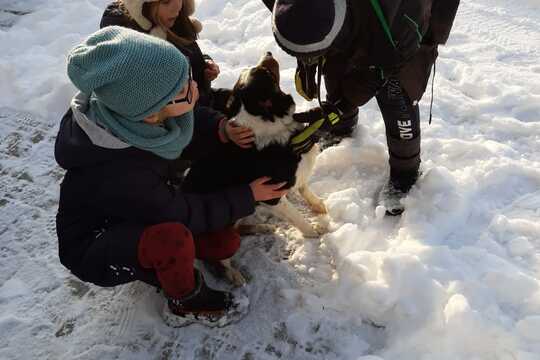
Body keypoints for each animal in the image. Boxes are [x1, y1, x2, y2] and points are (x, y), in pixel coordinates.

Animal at [182, 52, 324, 286]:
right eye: (266, 73)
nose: (268, 53)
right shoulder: (272, 194)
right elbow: (297, 216)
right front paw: (314, 232)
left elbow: (305, 188)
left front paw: (318, 205)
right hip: (220, 236)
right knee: (220, 261)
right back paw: (235, 275)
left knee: (239, 229)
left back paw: (261, 228)